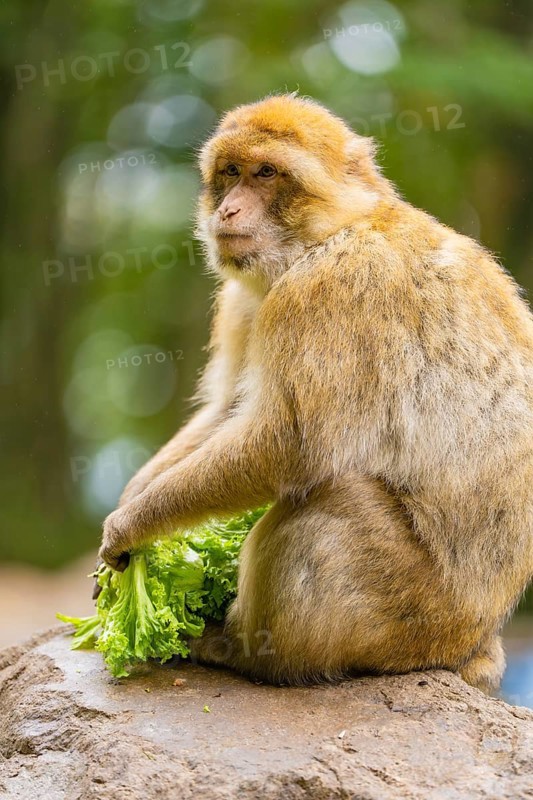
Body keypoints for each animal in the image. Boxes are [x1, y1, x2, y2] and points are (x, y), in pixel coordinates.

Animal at [98, 93, 533, 691]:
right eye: (230, 172)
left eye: (266, 173)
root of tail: (476, 641)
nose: (227, 211)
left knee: (331, 500)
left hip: (417, 617)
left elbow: (288, 441)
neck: (323, 237)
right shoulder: (246, 302)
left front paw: (132, 525)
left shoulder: (328, 293)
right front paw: (132, 498)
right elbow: (226, 410)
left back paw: (244, 651)